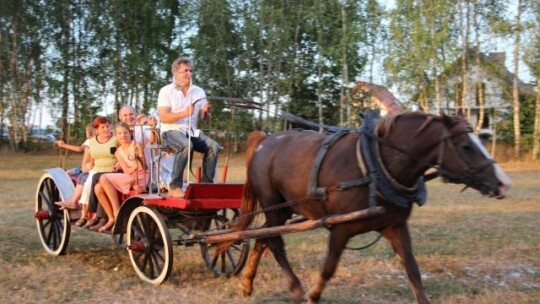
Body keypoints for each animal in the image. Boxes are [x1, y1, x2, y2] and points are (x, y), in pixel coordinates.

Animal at [225, 112, 510, 304]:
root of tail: (265, 140)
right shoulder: (340, 228)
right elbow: (328, 269)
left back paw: (247, 284)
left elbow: (413, 270)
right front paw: (311, 296)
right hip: (273, 203)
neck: (376, 166)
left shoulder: (395, 226)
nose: (503, 183)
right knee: (274, 242)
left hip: (284, 209)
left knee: (262, 236)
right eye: (466, 146)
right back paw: (294, 288)